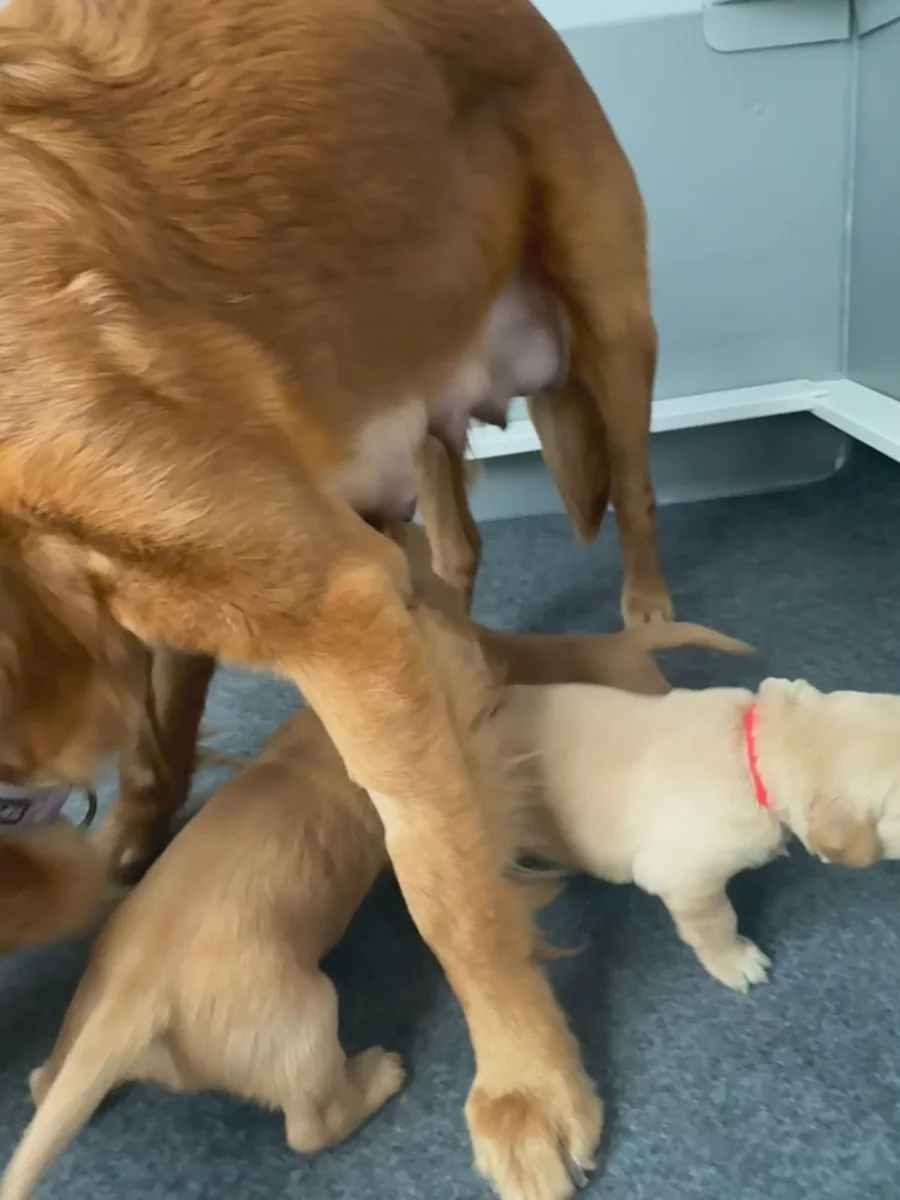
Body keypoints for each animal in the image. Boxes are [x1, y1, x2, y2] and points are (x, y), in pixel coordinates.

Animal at [0, 1, 672, 1191]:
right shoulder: (201, 572)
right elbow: (159, 742)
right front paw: (131, 849)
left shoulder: (325, 600)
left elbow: (449, 885)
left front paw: (527, 1087)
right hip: (408, 397)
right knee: (453, 544)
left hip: (608, 326)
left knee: (634, 497)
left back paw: (644, 613)